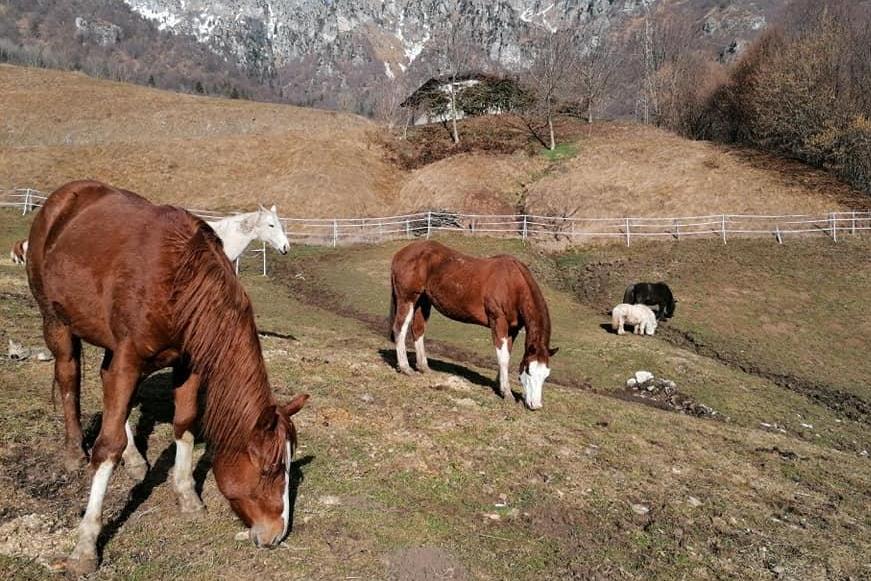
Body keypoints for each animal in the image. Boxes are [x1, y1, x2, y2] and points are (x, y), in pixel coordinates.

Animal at [26, 181, 309, 575]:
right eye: (270, 468)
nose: (276, 533)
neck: (180, 279)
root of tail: (61, 197)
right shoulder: (129, 359)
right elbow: (107, 446)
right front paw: (86, 544)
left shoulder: (189, 364)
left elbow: (185, 424)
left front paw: (187, 494)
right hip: (57, 323)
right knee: (69, 378)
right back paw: (73, 451)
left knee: (105, 381)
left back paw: (134, 458)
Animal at [389, 240, 558, 410]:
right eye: (529, 370)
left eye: (546, 374)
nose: (535, 405)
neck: (513, 285)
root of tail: (401, 253)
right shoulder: (498, 322)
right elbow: (503, 357)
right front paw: (507, 392)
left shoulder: (513, 329)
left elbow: (506, 355)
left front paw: (499, 384)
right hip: (408, 299)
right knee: (400, 329)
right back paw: (405, 368)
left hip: (423, 301)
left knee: (418, 330)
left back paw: (423, 367)